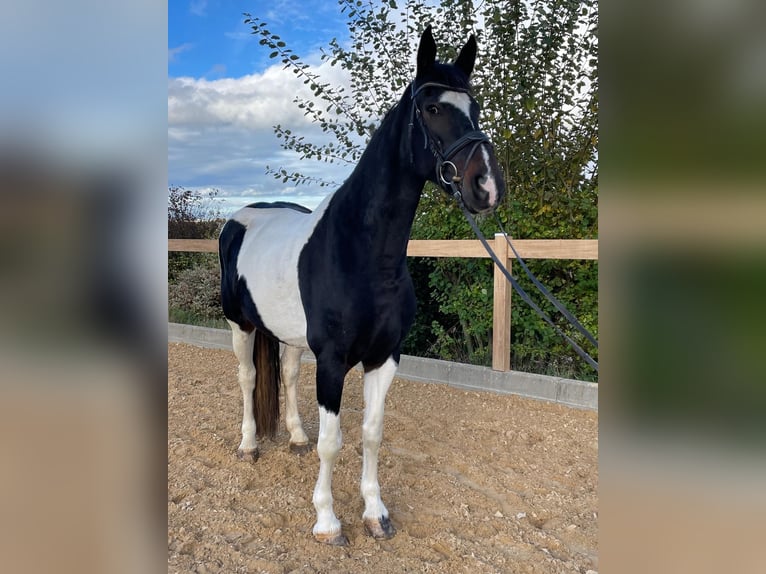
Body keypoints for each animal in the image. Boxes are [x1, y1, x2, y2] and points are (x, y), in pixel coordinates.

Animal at [218, 25, 506, 546]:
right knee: (247, 378)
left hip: (288, 336)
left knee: (286, 375)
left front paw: (376, 514)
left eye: (474, 108)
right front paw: (328, 523)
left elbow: (372, 433)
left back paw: (294, 437)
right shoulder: (333, 361)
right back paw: (249, 446)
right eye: (432, 108)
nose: (488, 186)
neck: (364, 255)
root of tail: (242, 217)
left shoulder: (385, 356)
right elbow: (333, 443)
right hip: (240, 324)